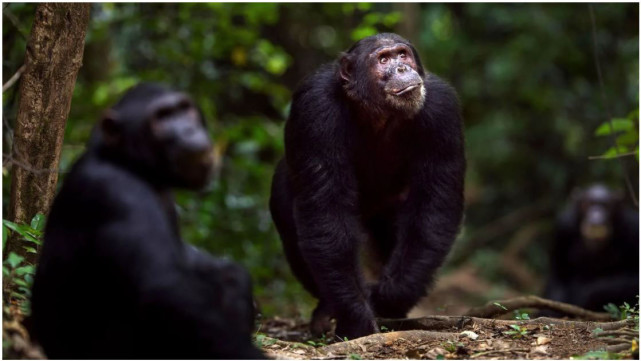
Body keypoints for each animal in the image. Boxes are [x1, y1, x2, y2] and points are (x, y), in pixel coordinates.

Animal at [29, 83, 264, 358]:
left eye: (184, 109)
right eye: (161, 117)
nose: (188, 129)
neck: (133, 166)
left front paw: (232, 276)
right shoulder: (118, 195)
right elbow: (162, 289)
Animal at [270, 33, 464, 338]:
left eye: (402, 55)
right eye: (383, 59)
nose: (400, 68)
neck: (376, 111)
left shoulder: (443, 110)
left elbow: (432, 208)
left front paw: (388, 298)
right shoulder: (314, 108)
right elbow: (328, 215)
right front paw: (356, 316)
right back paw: (326, 310)